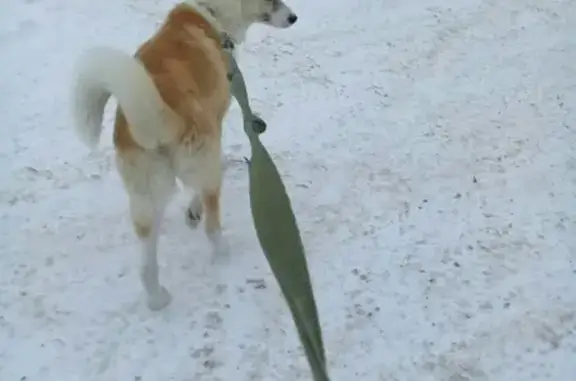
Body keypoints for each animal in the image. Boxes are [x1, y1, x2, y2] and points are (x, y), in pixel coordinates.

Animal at [70, 0, 300, 310]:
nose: (293, 17)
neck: (211, 11)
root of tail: (160, 119)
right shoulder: (214, 128)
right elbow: (210, 179)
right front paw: (194, 212)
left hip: (146, 197)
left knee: (146, 264)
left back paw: (158, 299)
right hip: (200, 163)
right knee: (211, 223)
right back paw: (222, 250)